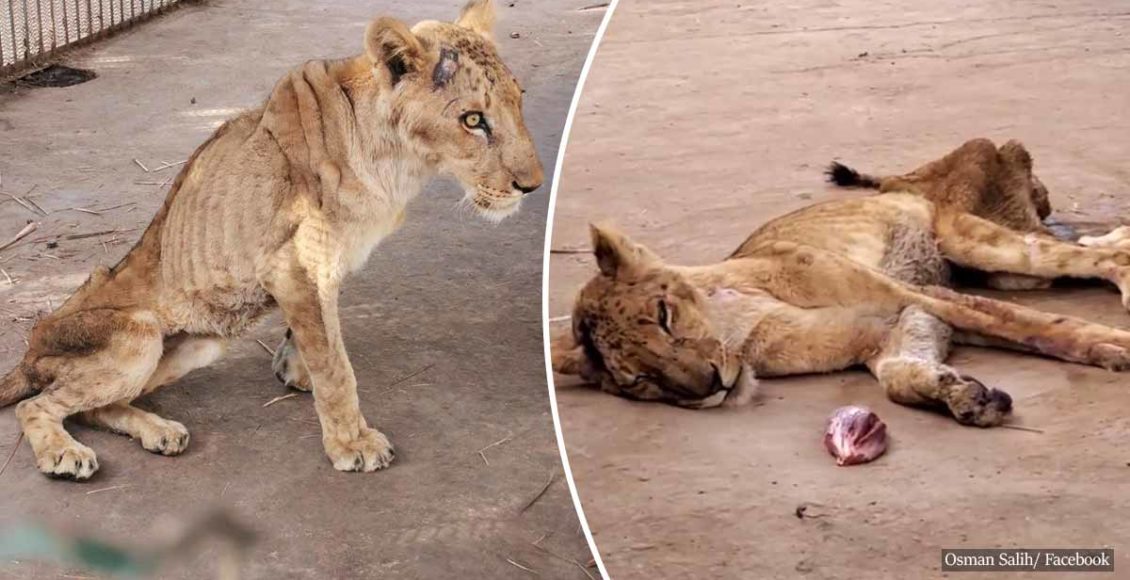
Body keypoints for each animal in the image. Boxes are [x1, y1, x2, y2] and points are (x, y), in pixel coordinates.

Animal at [0, 0, 546, 479]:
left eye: (519, 101)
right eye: (473, 120)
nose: (533, 185)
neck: (399, 163)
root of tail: (28, 350)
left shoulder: (318, 266)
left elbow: (316, 337)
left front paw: (293, 368)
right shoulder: (296, 265)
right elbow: (335, 364)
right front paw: (352, 443)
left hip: (201, 345)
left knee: (97, 407)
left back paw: (160, 432)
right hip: (138, 335)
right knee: (38, 406)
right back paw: (65, 454)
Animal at [553, 137, 1130, 422]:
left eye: (664, 317)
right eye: (638, 382)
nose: (711, 387)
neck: (736, 324)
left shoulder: (920, 295)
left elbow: (1036, 327)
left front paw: (1114, 347)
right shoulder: (896, 323)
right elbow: (898, 374)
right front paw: (959, 395)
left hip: (982, 243)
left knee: (1092, 260)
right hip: (1001, 269)